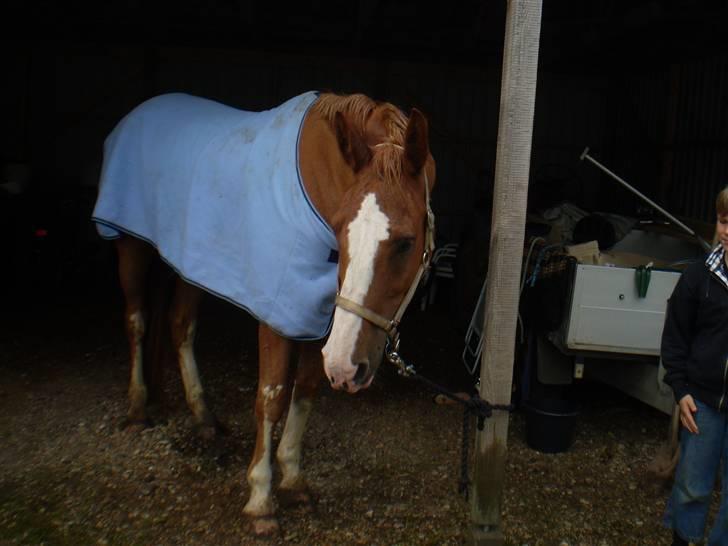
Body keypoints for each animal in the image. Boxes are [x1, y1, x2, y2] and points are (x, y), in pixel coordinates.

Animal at [94, 91, 440, 532]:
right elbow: (272, 396)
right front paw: (261, 498)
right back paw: (138, 408)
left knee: (180, 326)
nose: (349, 368)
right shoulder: (279, 314)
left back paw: (204, 417)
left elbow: (305, 390)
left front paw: (292, 479)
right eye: (341, 229)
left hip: (193, 263)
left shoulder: (319, 317)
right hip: (131, 247)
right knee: (136, 321)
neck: (315, 181)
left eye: (406, 242)